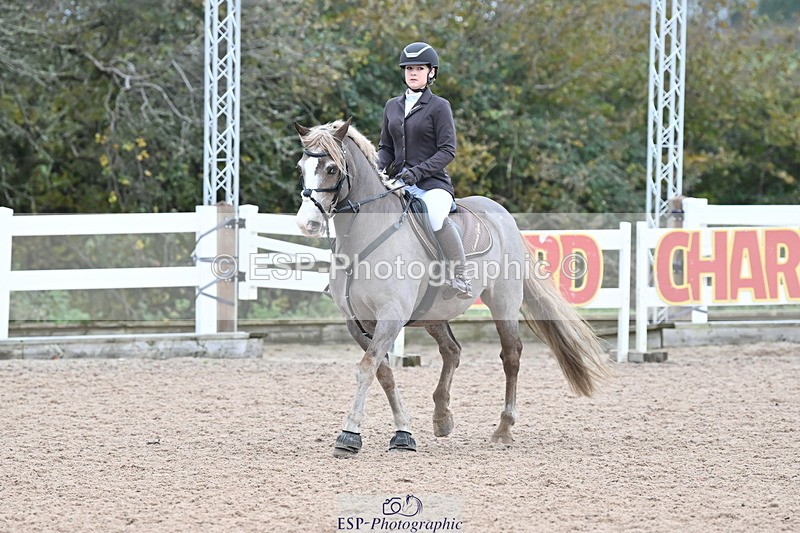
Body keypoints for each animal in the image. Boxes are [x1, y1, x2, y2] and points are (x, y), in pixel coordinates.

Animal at [293, 118, 610, 458]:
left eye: (331, 169)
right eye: (301, 168)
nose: (307, 224)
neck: (364, 237)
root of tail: (502, 215)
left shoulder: (391, 316)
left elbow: (367, 368)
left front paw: (349, 434)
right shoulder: (357, 322)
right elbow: (383, 372)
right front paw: (403, 433)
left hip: (504, 302)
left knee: (511, 355)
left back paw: (503, 429)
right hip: (434, 314)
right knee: (452, 351)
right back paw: (442, 417)